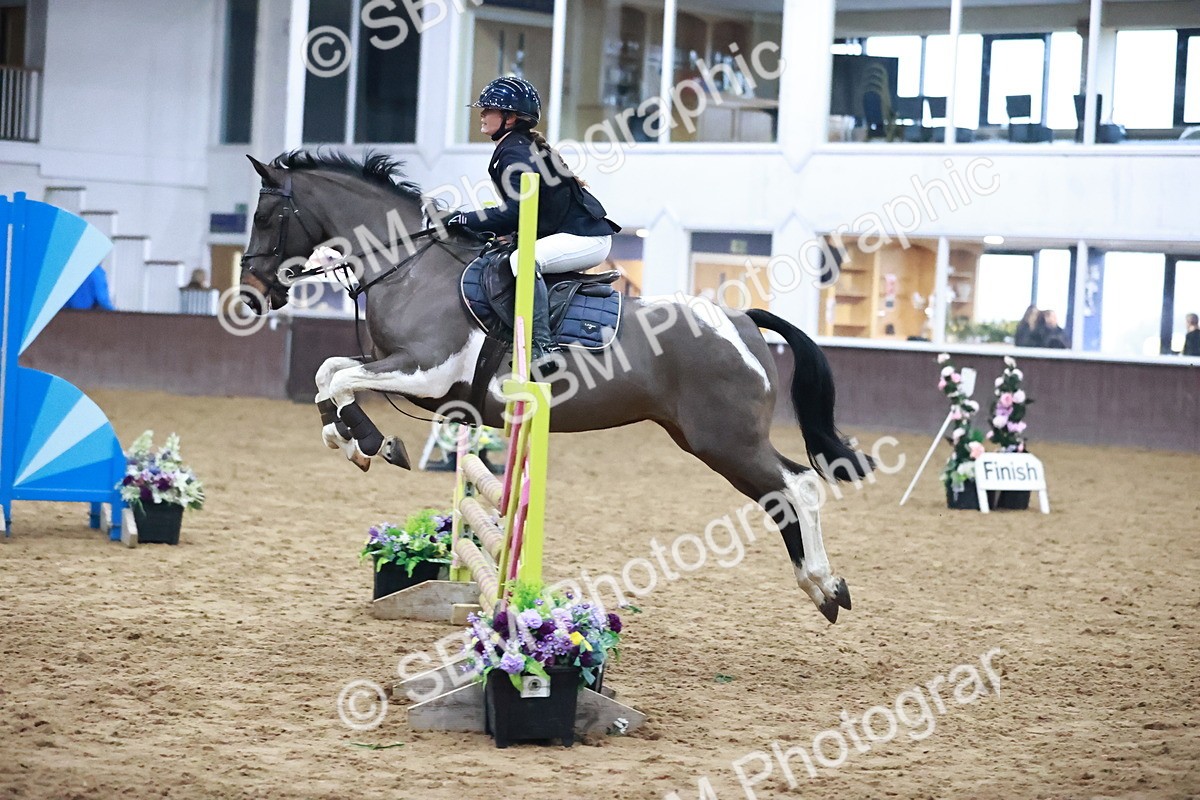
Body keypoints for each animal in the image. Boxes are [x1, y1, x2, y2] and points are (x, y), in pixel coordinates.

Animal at [239, 150, 873, 623]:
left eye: (266, 216)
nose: (251, 295)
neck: (410, 266)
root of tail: (741, 320)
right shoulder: (398, 367)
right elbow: (327, 373)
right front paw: (354, 441)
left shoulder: (426, 371)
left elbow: (340, 376)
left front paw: (369, 442)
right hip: (707, 439)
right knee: (780, 494)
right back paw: (822, 590)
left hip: (726, 439)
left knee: (797, 486)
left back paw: (825, 585)